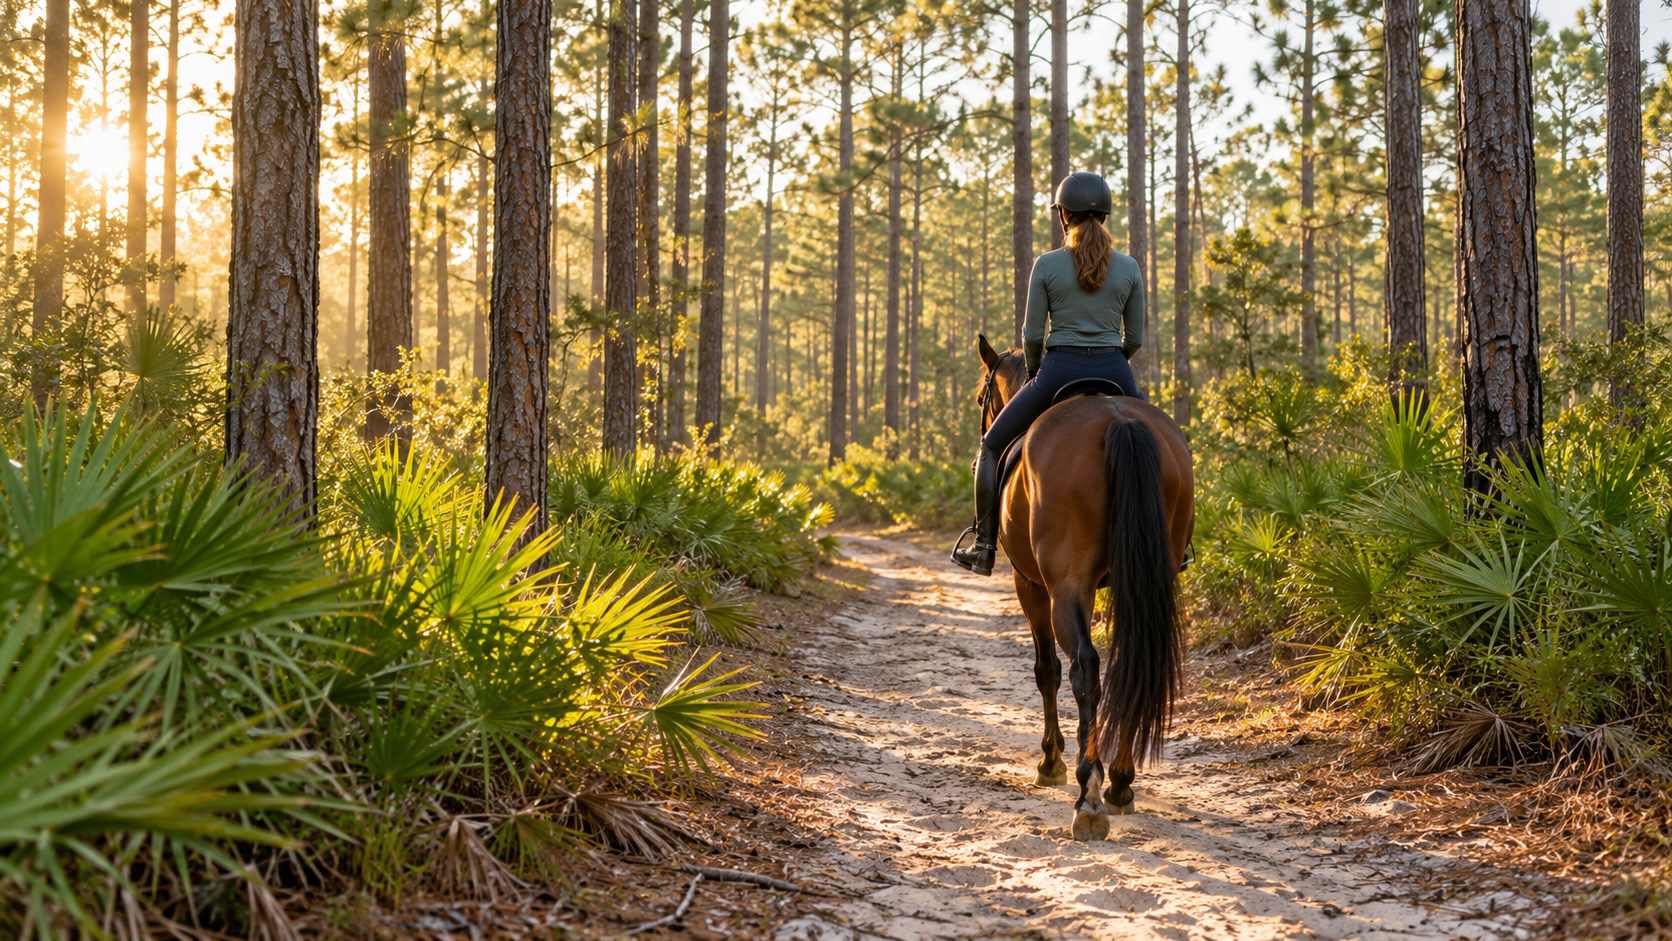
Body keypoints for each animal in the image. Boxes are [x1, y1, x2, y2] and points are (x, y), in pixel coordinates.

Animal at [973, 334, 1194, 841]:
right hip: (1147, 577)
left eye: (980, 397)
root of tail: (1121, 421)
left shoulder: (1031, 584)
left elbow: (1047, 670)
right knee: (1131, 661)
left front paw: (1050, 761)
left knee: (1086, 668)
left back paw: (1088, 793)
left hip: (1064, 584)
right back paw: (1121, 784)